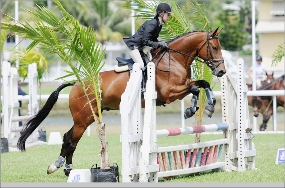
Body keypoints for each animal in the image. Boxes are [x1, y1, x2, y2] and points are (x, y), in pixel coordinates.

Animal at [16, 27, 225, 176]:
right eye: (214, 47)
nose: (221, 71)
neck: (174, 59)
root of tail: (77, 83)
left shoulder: (182, 86)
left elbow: (202, 84)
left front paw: (209, 105)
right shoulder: (169, 93)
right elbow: (195, 88)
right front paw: (192, 109)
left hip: (88, 117)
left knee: (70, 138)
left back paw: (66, 168)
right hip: (83, 118)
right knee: (70, 139)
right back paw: (57, 167)